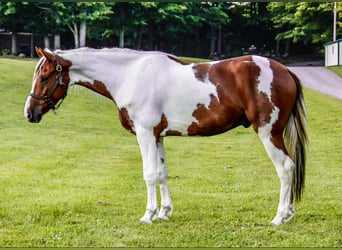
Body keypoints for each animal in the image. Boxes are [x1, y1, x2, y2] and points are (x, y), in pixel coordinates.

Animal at [24, 47, 308, 225]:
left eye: (45, 76)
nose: (30, 113)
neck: (130, 75)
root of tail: (284, 70)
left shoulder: (145, 133)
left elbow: (149, 174)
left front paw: (148, 215)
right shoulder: (158, 136)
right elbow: (162, 173)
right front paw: (164, 213)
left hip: (269, 132)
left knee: (285, 167)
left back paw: (279, 217)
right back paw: (290, 213)